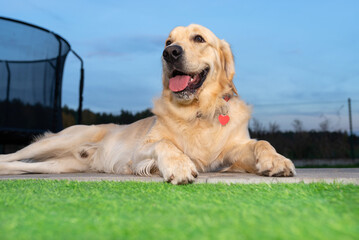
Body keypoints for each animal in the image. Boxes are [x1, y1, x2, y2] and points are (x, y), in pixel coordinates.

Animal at [0, 23, 296, 184]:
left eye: (199, 38)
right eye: (168, 41)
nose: (170, 52)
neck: (198, 111)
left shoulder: (231, 152)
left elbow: (261, 142)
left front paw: (277, 160)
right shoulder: (140, 151)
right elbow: (165, 143)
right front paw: (178, 165)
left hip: (60, 164)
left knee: (20, 165)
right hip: (62, 139)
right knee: (13, 155)